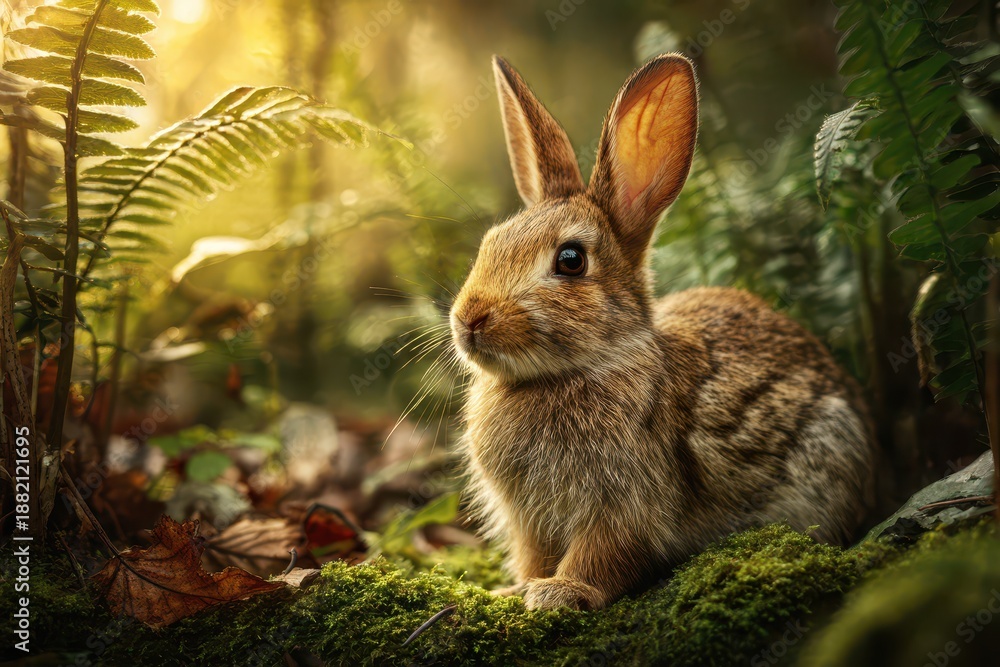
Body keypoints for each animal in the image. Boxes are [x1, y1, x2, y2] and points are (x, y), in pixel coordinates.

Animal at [448, 53, 877, 611]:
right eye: (490, 242)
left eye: (570, 260)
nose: (469, 318)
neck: (572, 371)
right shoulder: (530, 523)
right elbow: (533, 555)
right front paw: (513, 589)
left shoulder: (625, 504)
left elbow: (605, 554)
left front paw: (561, 593)